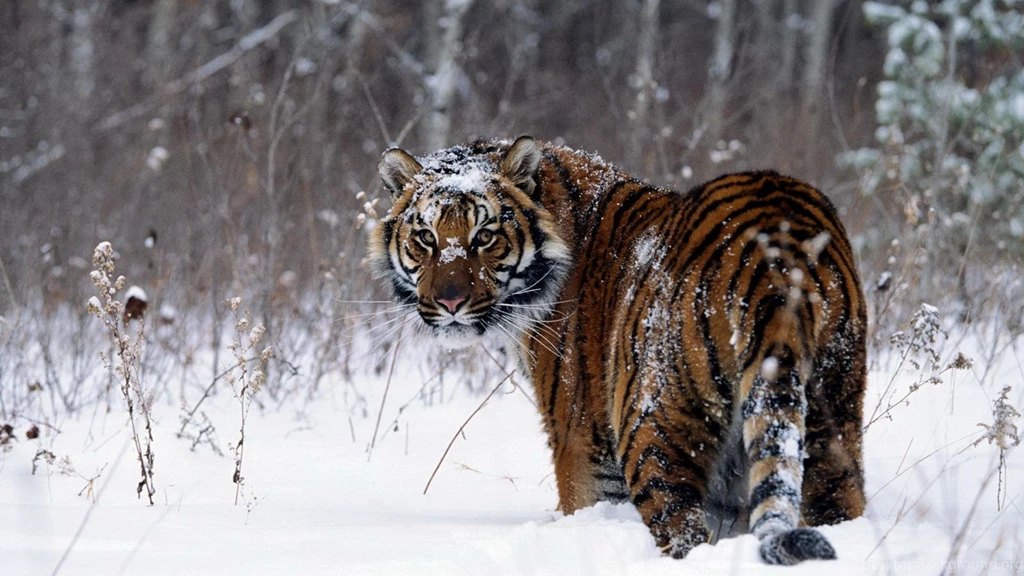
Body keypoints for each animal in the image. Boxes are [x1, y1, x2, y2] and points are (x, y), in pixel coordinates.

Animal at [369, 136, 866, 565]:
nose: (450, 303)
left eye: (485, 237)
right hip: (832, 418)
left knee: (683, 531)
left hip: (653, 428)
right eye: (426, 238)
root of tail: (776, 249)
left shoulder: (582, 443)